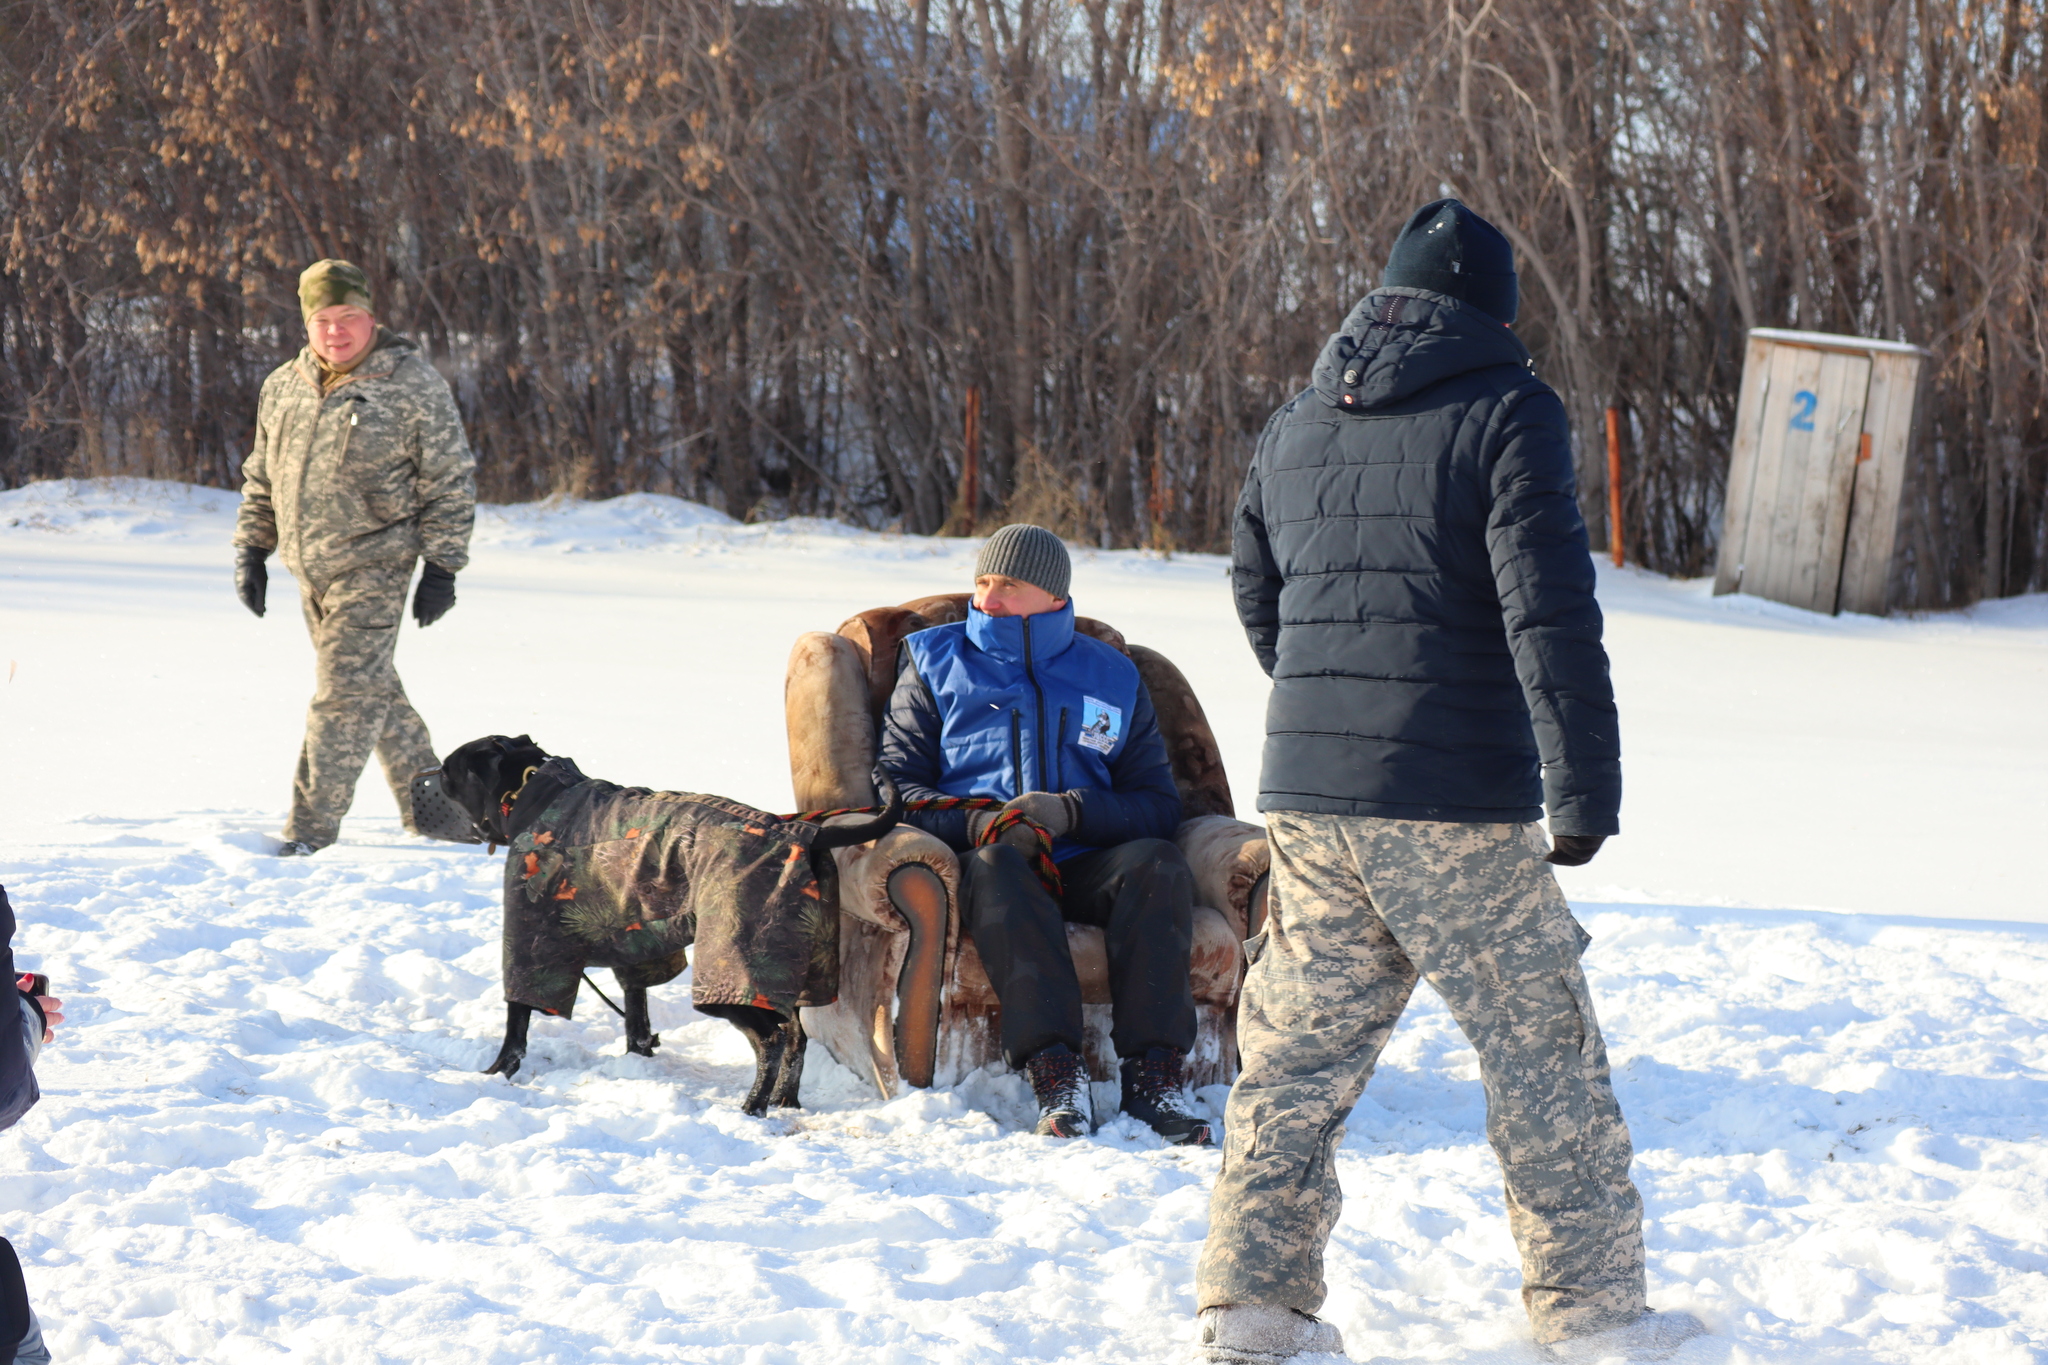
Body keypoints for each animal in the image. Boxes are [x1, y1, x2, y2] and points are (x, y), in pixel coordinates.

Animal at [411, 736, 901, 1113]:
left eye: (449, 768)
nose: (428, 774)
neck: (534, 792)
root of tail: (807, 833)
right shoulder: (635, 943)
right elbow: (637, 1016)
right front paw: (639, 1060)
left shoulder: (532, 945)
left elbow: (517, 1025)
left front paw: (495, 1074)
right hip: (789, 972)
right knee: (796, 1038)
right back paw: (785, 1102)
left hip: (731, 975)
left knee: (772, 1041)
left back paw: (752, 1108)